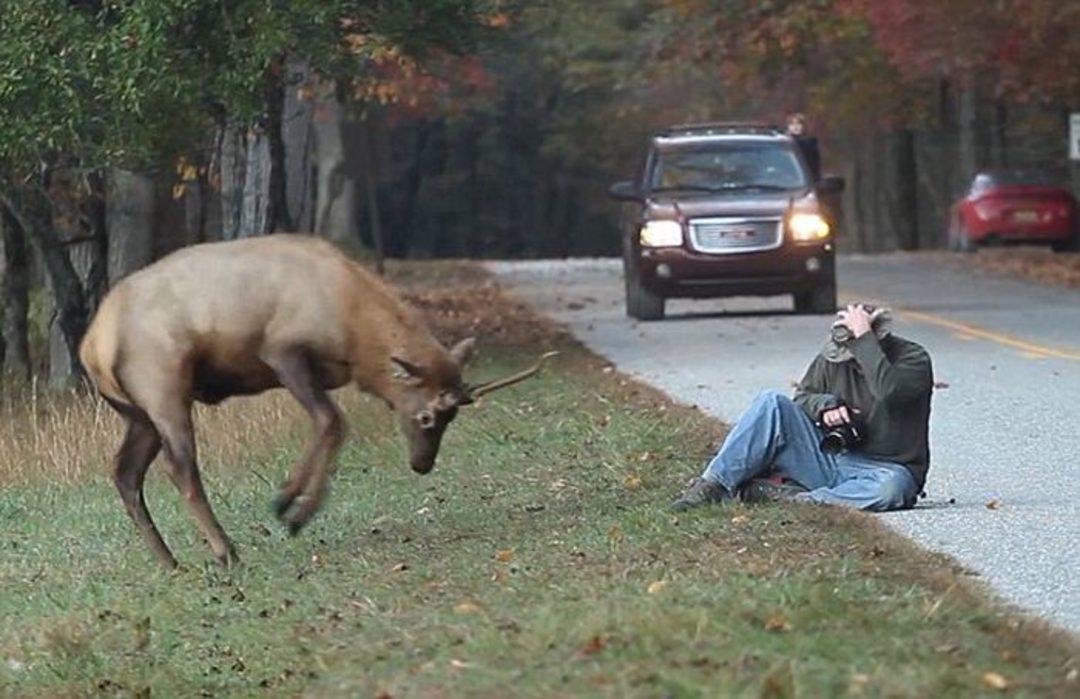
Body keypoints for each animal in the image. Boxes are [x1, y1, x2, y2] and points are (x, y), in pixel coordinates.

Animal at [77, 235, 552, 570]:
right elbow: (331, 421)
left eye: (453, 417)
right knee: (180, 468)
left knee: (125, 472)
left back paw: (170, 561)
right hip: (164, 388)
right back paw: (225, 551)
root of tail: (92, 347)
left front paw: (292, 505)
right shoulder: (283, 350)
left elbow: (330, 423)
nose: (422, 464)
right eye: (427, 415)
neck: (355, 333)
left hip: (137, 413)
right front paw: (290, 507)